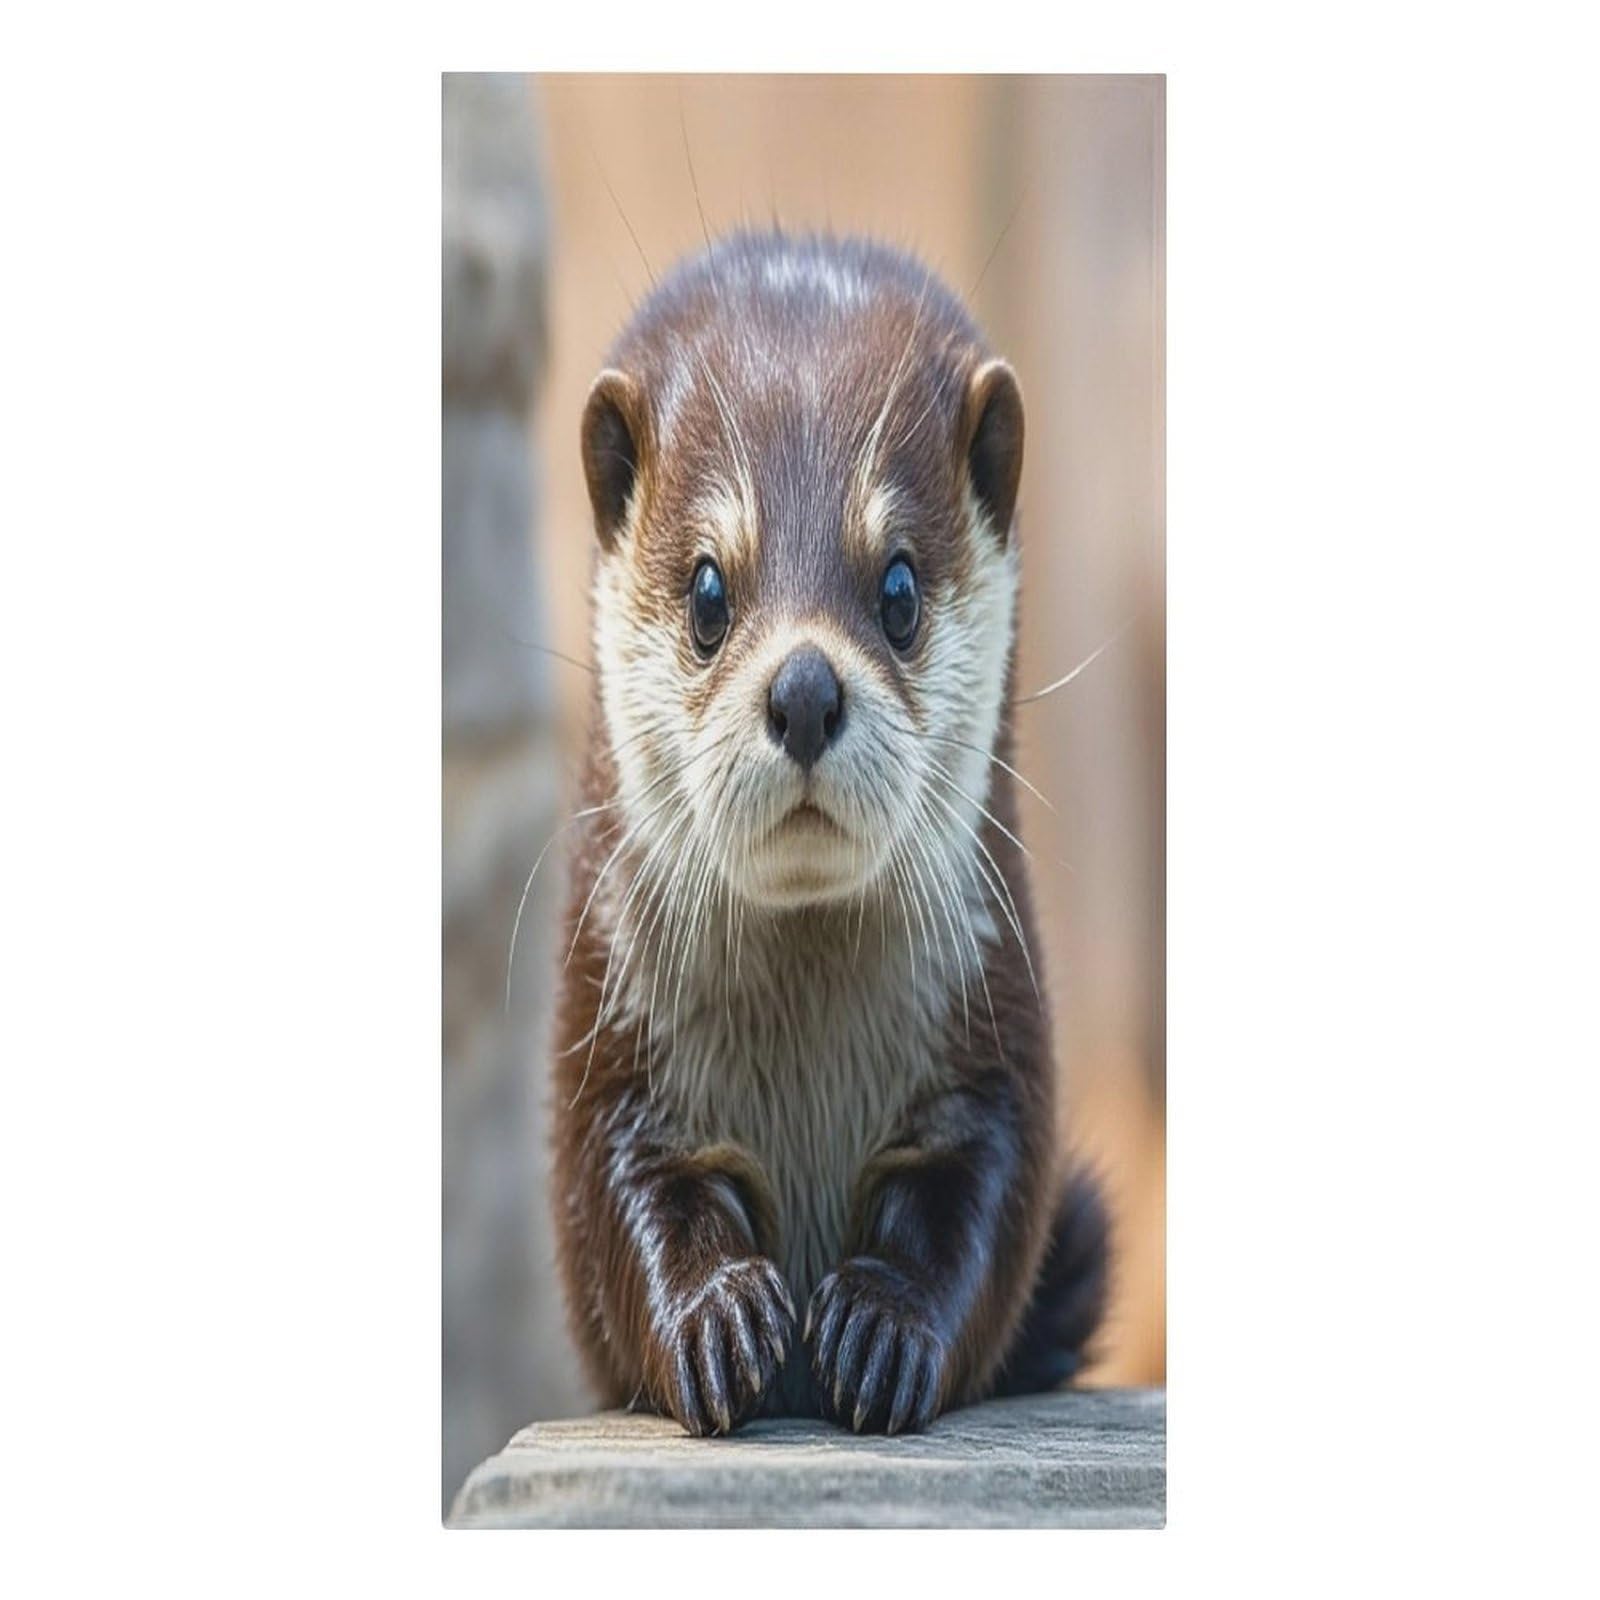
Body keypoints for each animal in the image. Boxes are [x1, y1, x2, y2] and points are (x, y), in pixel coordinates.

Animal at [550, 230, 1108, 1435]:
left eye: (897, 586)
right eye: (709, 591)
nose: (804, 690)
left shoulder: (996, 1029)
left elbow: (980, 1197)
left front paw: (881, 1327)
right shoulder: (605, 1038)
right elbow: (619, 1199)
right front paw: (716, 1314)